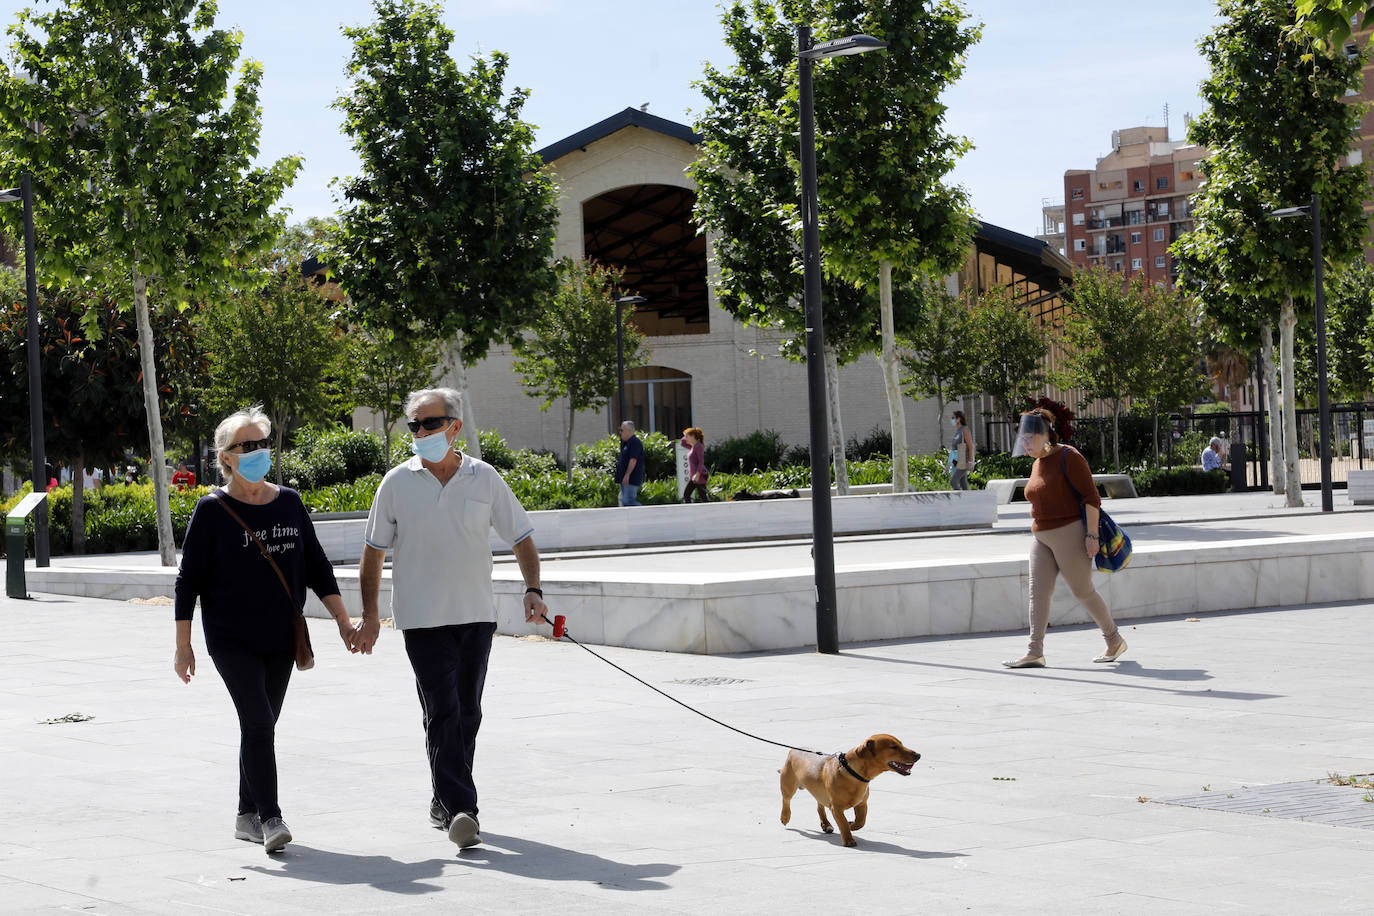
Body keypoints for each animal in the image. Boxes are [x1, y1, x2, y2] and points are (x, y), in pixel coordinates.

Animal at [780, 736, 917, 851]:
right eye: (893, 747)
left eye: (901, 744)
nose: (918, 755)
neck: (852, 773)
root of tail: (793, 750)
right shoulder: (836, 808)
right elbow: (843, 824)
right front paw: (849, 839)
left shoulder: (862, 803)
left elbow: (861, 821)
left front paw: (853, 826)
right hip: (788, 786)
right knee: (786, 800)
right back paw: (785, 817)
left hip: (820, 791)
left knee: (820, 806)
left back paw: (826, 824)